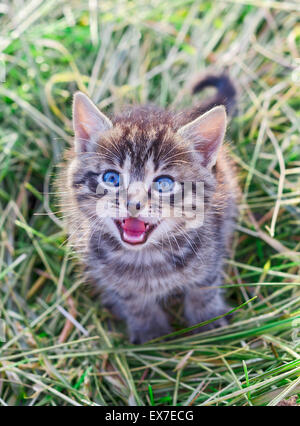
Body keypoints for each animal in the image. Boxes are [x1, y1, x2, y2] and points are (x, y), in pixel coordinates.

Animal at [57, 75, 238, 344]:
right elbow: (134, 302)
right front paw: (151, 334)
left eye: (163, 184)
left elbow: (204, 288)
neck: (146, 258)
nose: (134, 203)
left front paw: (208, 324)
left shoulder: (211, 253)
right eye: (111, 178)